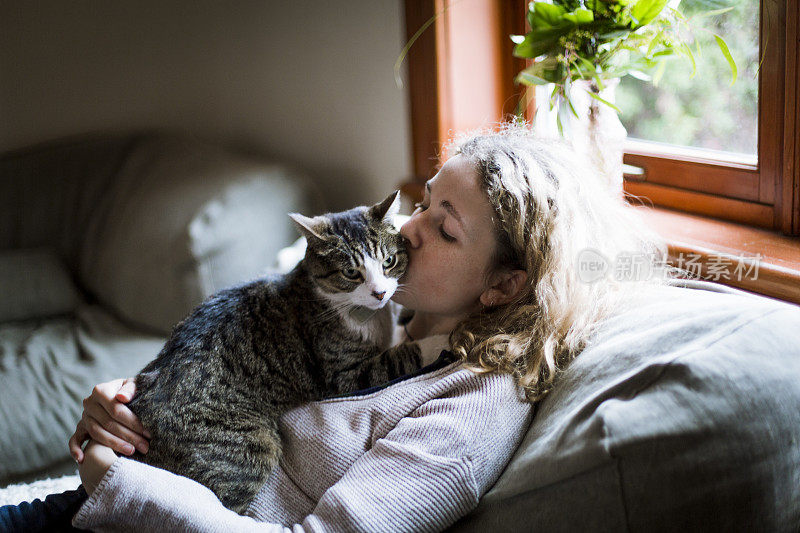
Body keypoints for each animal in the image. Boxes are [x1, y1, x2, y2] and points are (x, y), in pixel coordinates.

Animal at [126, 191, 422, 512]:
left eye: (389, 261)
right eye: (350, 272)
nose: (380, 293)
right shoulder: (345, 375)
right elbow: (399, 357)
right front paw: (440, 342)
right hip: (250, 448)